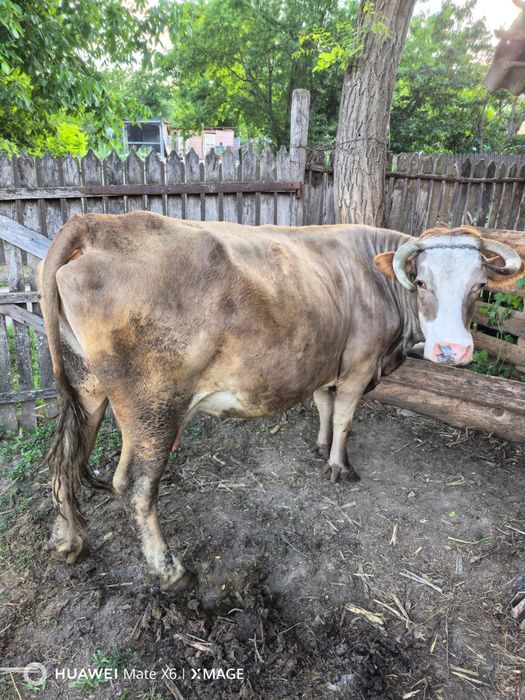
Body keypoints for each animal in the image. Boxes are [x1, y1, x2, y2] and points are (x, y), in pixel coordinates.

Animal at [38, 212, 522, 589]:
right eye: (421, 281)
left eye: (480, 286)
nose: (452, 350)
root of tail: (95, 223)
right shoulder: (360, 367)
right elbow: (345, 418)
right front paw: (339, 466)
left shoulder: (325, 362)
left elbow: (324, 407)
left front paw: (320, 448)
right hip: (152, 407)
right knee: (136, 486)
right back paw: (171, 571)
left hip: (87, 386)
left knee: (65, 458)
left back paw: (67, 542)